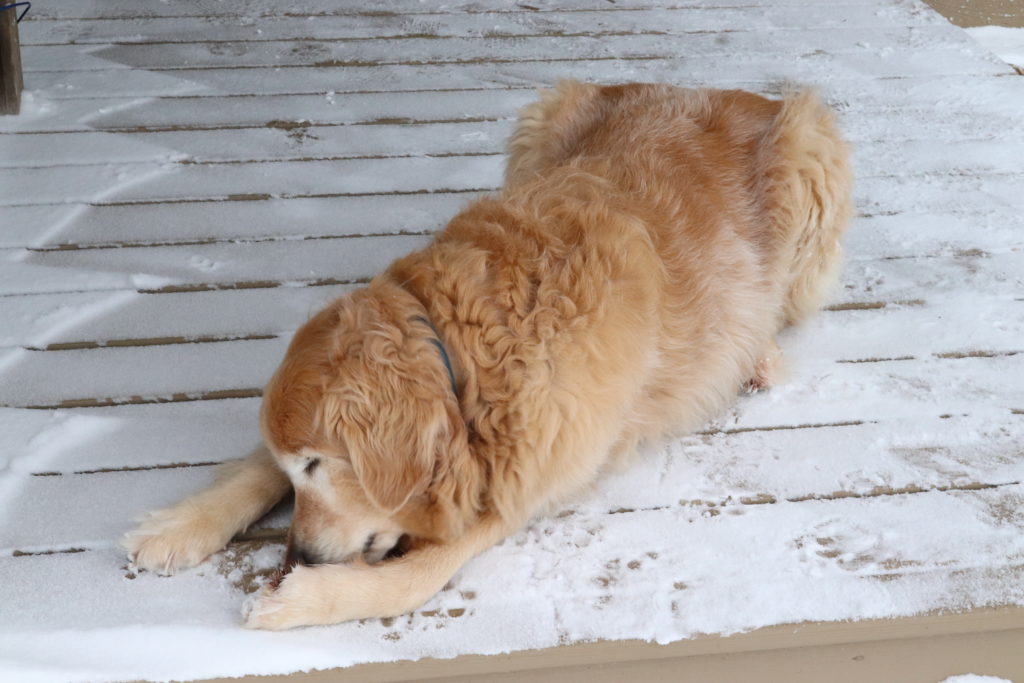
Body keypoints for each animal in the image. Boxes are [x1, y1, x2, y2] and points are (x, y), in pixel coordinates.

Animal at [123, 81, 851, 630]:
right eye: (297, 467)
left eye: (316, 466)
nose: (297, 552)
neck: (463, 360)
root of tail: (738, 91)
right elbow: (251, 468)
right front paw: (181, 523)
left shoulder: (532, 478)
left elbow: (417, 573)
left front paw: (303, 598)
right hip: (542, 117)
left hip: (811, 152)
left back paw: (760, 356)